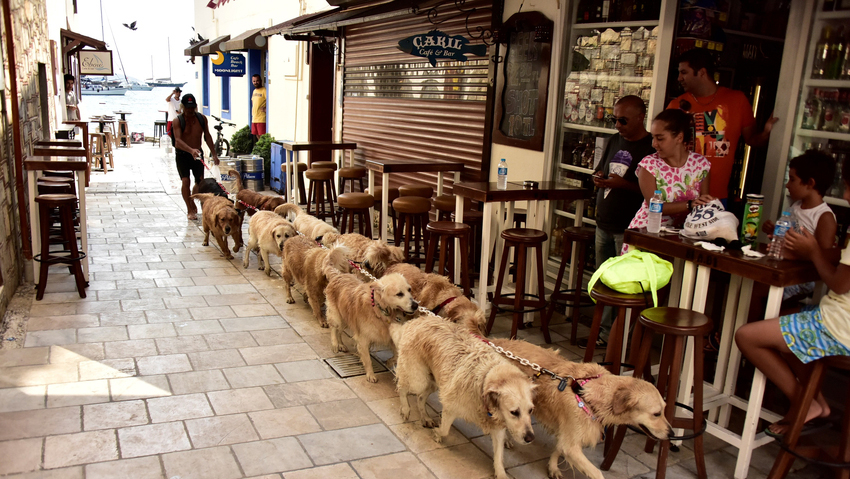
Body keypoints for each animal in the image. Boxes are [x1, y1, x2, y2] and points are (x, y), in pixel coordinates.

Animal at [390, 316, 532, 479]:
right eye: (514, 412)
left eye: (531, 411)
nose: (530, 438)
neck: (484, 380)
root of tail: (418, 319)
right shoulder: (450, 407)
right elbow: (445, 430)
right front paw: (437, 434)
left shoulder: (497, 425)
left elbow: (498, 455)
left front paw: (501, 473)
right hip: (419, 379)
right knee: (403, 387)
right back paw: (405, 409)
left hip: (434, 382)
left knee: (420, 397)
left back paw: (425, 417)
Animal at [486, 338, 672, 479]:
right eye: (656, 414)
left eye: (664, 409)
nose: (671, 434)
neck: (587, 393)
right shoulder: (572, 442)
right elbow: (597, 472)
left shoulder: (568, 433)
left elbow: (559, 448)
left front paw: (553, 467)